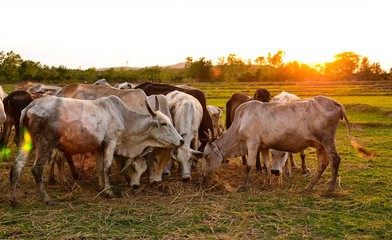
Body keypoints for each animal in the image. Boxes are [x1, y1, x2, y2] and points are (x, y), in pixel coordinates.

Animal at [9, 94, 184, 205]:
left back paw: (14, 200)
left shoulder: (100, 147)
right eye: (163, 123)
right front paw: (109, 192)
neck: (124, 118)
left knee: (17, 165)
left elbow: (100, 167)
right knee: (37, 169)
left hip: (27, 142)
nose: (181, 141)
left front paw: (101, 187)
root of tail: (31, 105)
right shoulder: (111, 143)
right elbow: (107, 168)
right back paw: (46, 199)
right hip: (45, 144)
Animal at [204, 95, 372, 195]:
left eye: (206, 156)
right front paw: (267, 184)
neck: (241, 119)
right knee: (323, 163)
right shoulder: (263, 146)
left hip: (327, 141)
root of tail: (335, 103)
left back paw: (329, 190)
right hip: (320, 145)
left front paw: (244, 185)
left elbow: (249, 166)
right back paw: (308, 187)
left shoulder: (252, 143)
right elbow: (266, 165)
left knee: (335, 160)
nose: (204, 176)